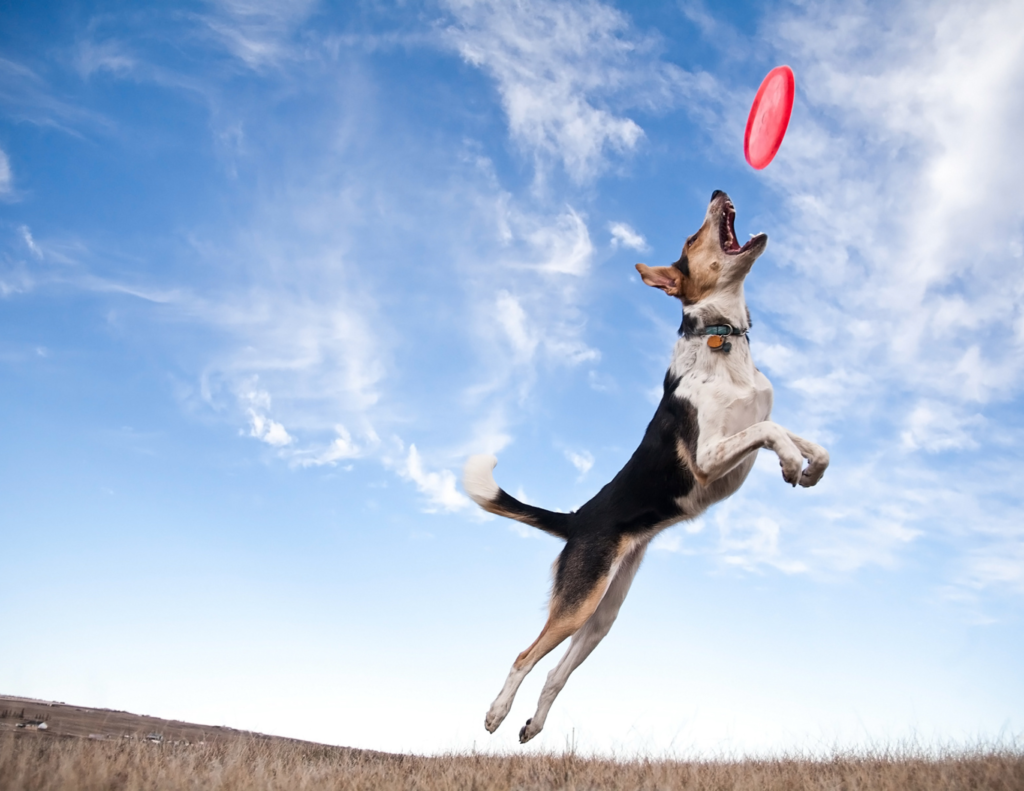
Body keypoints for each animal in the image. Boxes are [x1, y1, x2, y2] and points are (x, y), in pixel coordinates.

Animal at [464, 189, 831, 741]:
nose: (718, 192)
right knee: (525, 656)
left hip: (602, 614)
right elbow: (770, 434)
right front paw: (791, 463)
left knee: (554, 673)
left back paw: (532, 725)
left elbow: (796, 435)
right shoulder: (707, 458)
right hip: (578, 602)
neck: (721, 337)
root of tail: (578, 519)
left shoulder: (752, 425)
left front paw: (810, 467)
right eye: (691, 237)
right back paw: (496, 713)